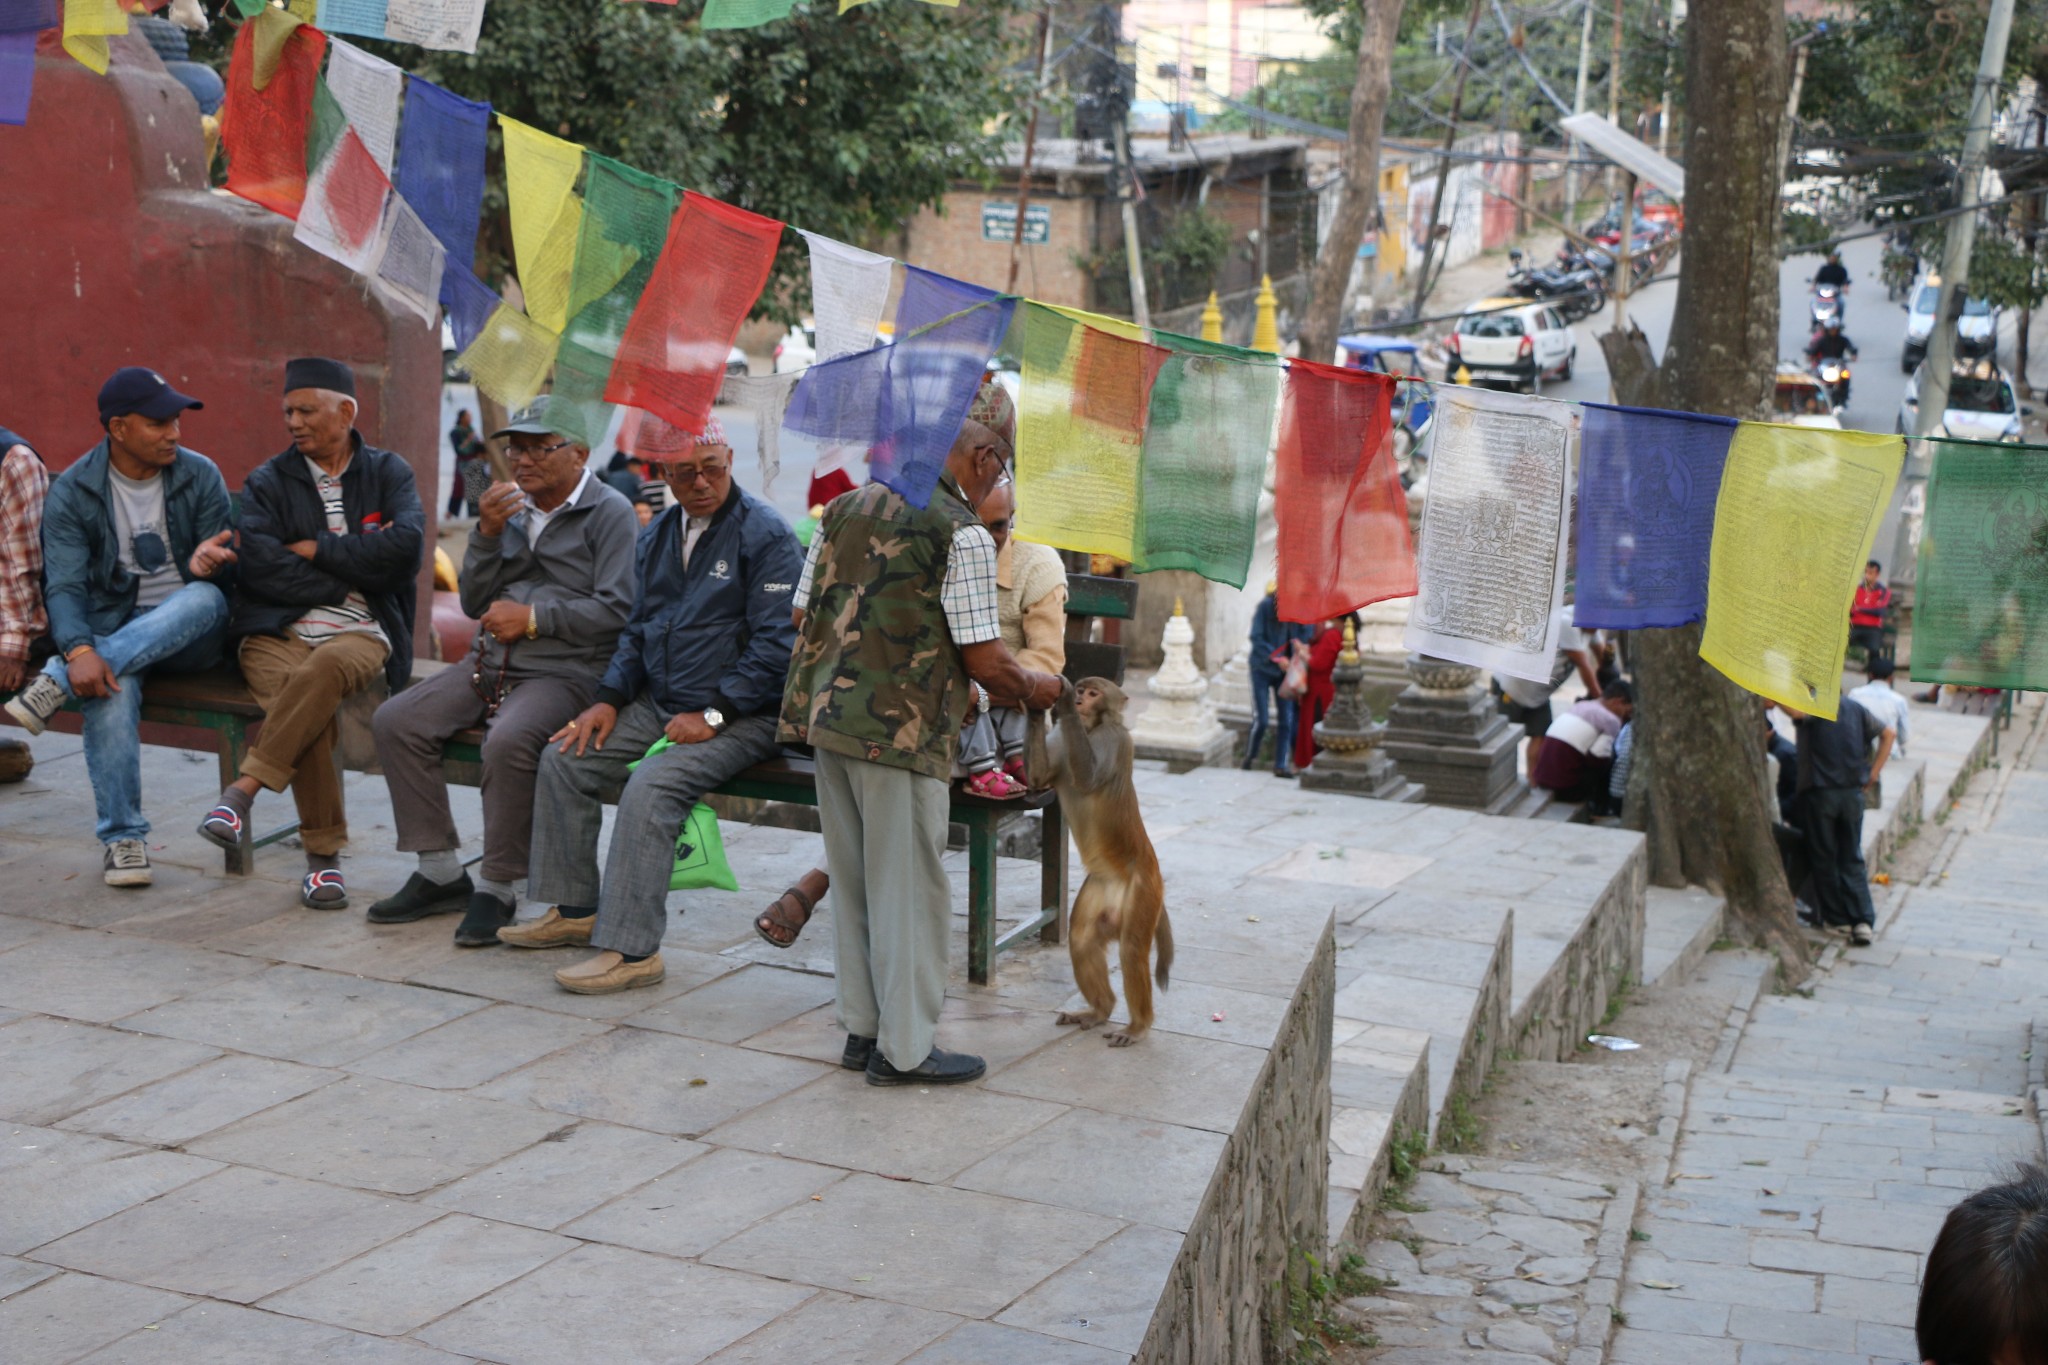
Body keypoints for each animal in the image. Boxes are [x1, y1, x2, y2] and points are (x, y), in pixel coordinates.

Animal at [1048, 679, 1179, 1047]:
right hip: (1100, 886)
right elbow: (1035, 777)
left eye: (1093, 693)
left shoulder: (1112, 738)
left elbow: (1089, 777)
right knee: (1081, 939)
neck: (1092, 728)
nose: (1079, 698)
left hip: (1145, 888)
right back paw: (1100, 1010)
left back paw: (1138, 1026)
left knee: (1132, 949)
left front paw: (1062, 704)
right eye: (1083, 690)